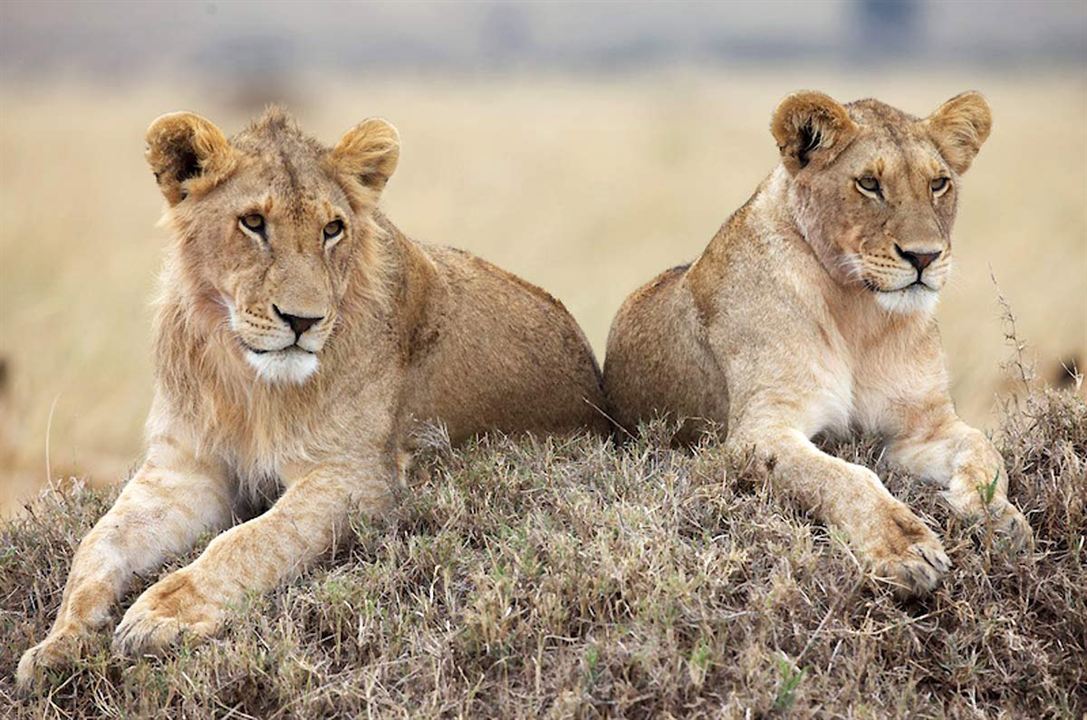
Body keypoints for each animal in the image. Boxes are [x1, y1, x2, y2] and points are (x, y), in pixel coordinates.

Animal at [16, 107, 608, 687]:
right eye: (253, 223)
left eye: (332, 229)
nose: (303, 320)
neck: (250, 383)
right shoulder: (183, 470)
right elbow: (98, 543)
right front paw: (57, 645)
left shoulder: (358, 475)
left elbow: (254, 539)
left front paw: (162, 613)